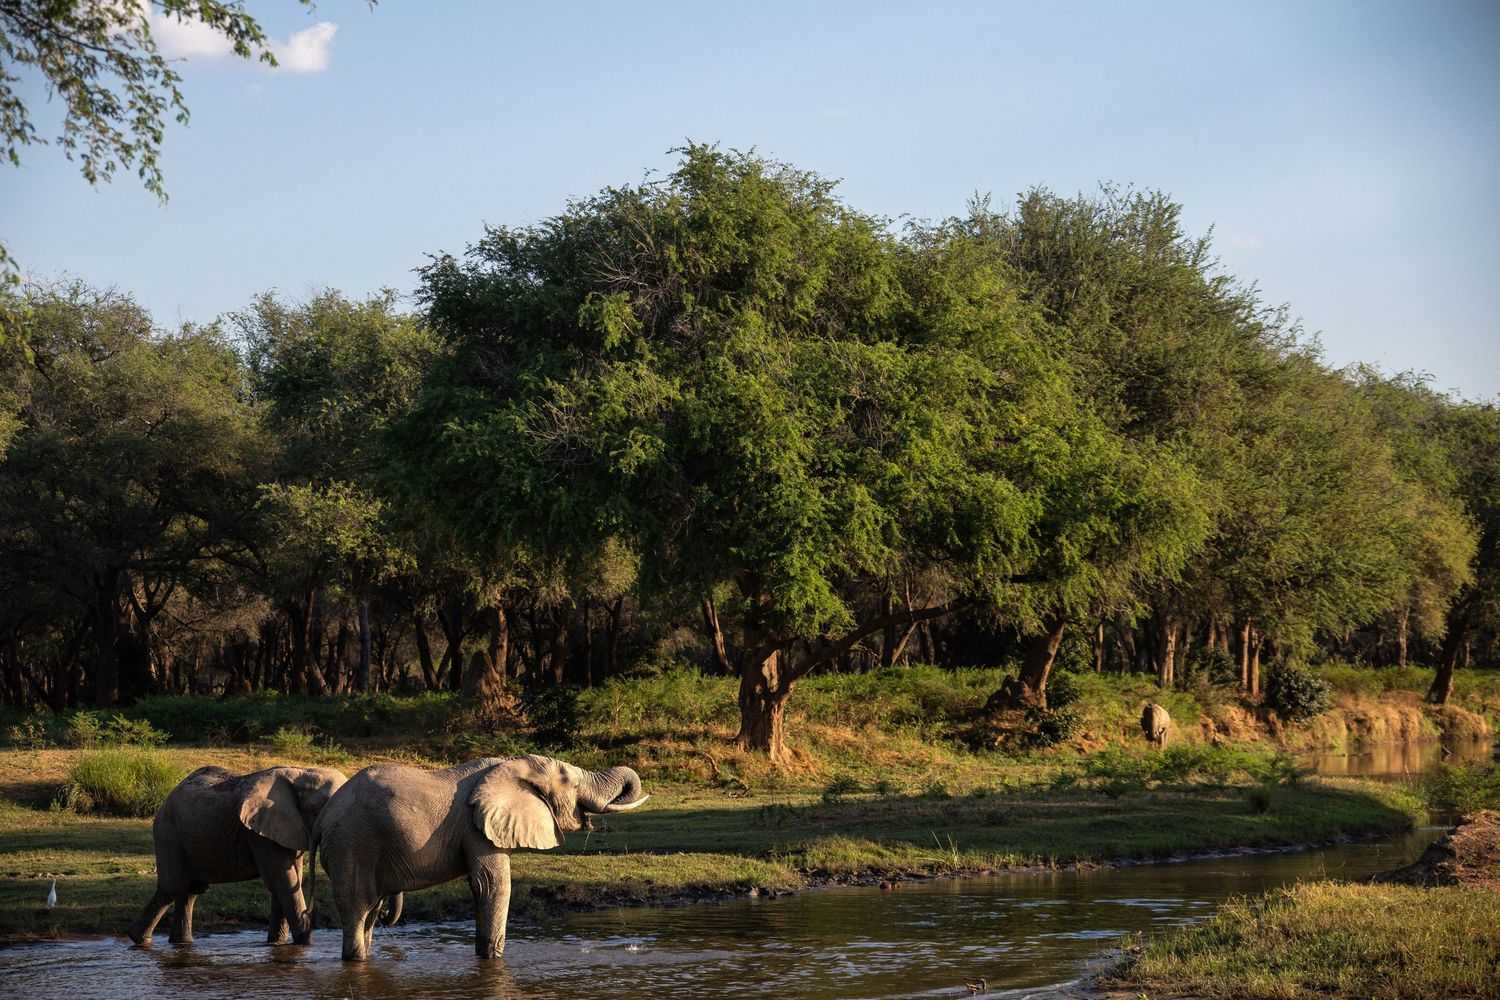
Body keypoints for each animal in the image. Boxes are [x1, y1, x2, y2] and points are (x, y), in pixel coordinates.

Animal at [126, 764, 345, 947]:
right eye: (320, 810)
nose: (309, 912)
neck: (301, 773)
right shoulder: (259, 833)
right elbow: (283, 881)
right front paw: (304, 944)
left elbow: (287, 881)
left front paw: (276, 944)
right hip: (169, 831)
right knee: (172, 887)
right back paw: (140, 940)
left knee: (190, 891)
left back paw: (181, 943)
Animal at [314, 754, 648, 961]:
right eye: (573, 784)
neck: (512, 766)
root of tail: (323, 816)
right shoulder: (477, 826)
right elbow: (492, 885)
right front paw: (493, 959)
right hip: (351, 844)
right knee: (357, 906)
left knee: (370, 910)